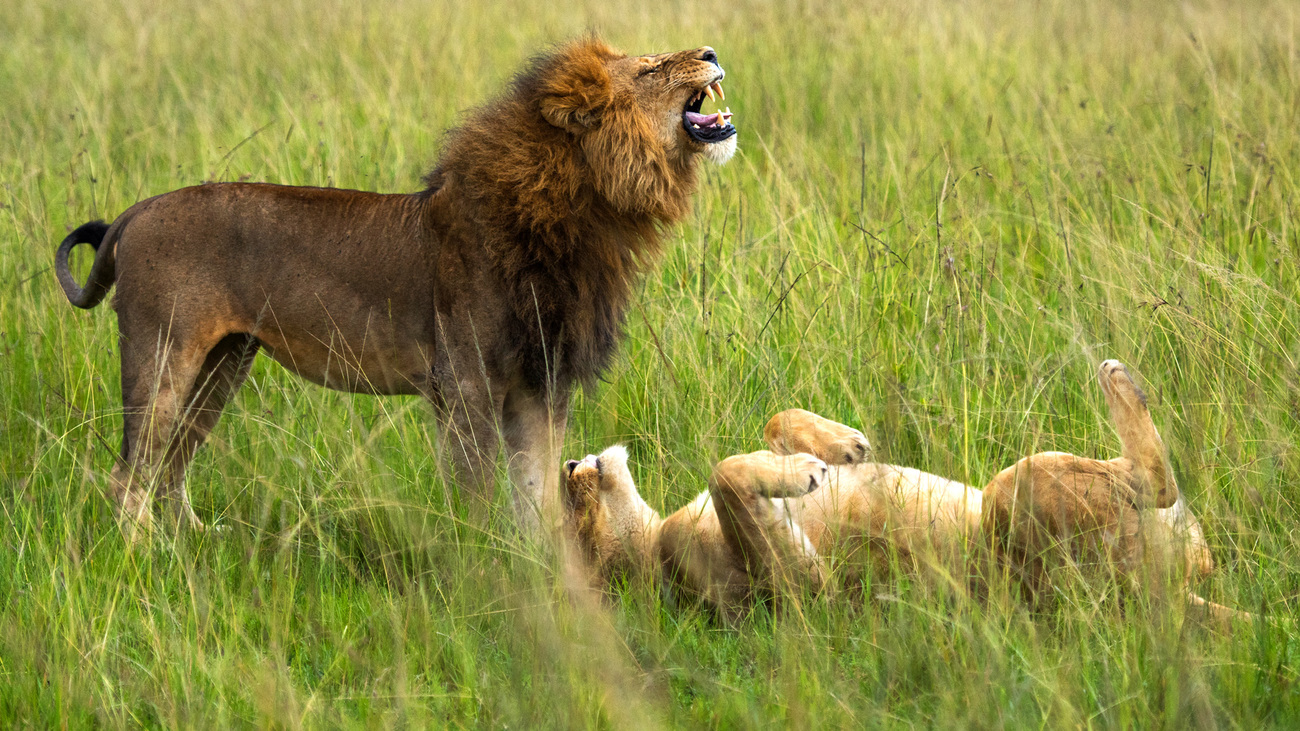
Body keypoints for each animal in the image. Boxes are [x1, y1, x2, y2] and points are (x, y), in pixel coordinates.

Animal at [55, 38, 743, 528]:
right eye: (650, 68)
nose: (712, 52)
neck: (582, 204)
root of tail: (134, 213)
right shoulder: (464, 381)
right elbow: (479, 493)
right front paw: (490, 573)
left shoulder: (540, 382)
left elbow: (537, 494)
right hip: (163, 352)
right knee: (129, 476)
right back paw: (145, 562)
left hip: (224, 363)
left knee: (171, 469)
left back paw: (193, 547)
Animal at [564, 358, 1242, 619]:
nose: (569, 465)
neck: (653, 540)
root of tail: (1160, 596)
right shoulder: (799, 590)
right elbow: (725, 474)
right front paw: (806, 470)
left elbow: (772, 424)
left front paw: (842, 446)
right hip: (1017, 495)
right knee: (1156, 480)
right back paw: (1119, 379)